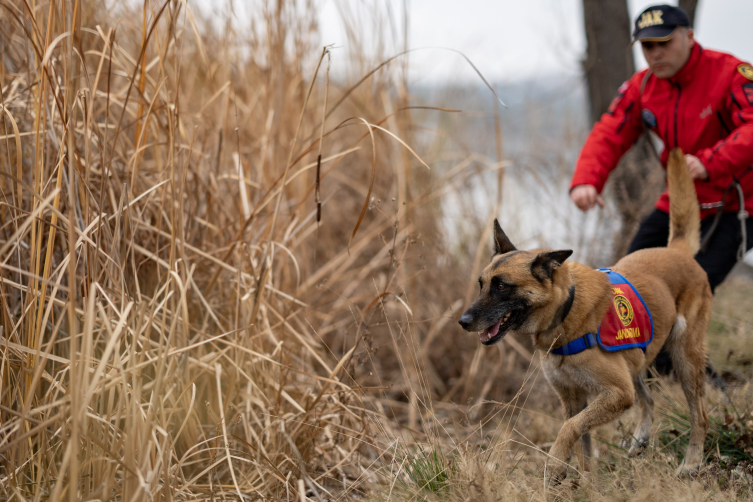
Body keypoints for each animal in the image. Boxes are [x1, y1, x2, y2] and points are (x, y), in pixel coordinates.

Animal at [458, 148, 712, 482]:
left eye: (501, 286)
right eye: (481, 284)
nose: (463, 322)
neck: (565, 312)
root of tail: (677, 251)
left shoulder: (616, 394)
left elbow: (570, 429)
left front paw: (554, 463)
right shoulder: (576, 398)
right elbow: (584, 446)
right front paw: (587, 482)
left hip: (685, 361)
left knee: (700, 416)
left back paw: (692, 463)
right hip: (636, 362)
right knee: (648, 398)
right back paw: (641, 439)